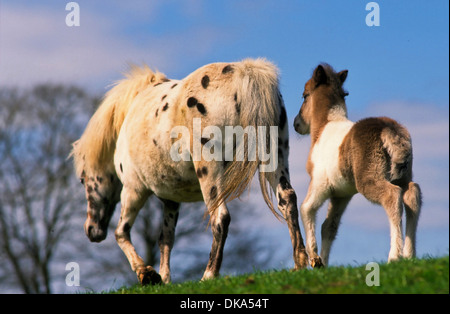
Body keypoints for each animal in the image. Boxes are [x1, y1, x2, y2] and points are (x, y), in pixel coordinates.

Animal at [71, 58, 310, 284]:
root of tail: (243, 74)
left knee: (220, 217)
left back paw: (209, 274)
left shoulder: (133, 189)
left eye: (82, 179)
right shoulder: (170, 199)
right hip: (275, 158)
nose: (91, 230)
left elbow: (121, 233)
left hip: (209, 172)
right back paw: (299, 263)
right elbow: (165, 239)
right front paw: (165, 279)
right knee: (287, 198)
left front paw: (147, 275)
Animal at [294, 63, 420, 268]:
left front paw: (315, 259)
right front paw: (324, 265)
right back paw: (410, 255)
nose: (296, 124)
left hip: (369, 180)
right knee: (412, 194)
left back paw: (394, 256)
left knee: (393, 196)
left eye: (304, 95)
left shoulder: (320, 183)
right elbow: (329, 226)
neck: (324, 128)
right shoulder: (341, 194)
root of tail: (390, 129)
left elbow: (306, 208)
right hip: (402, 176)